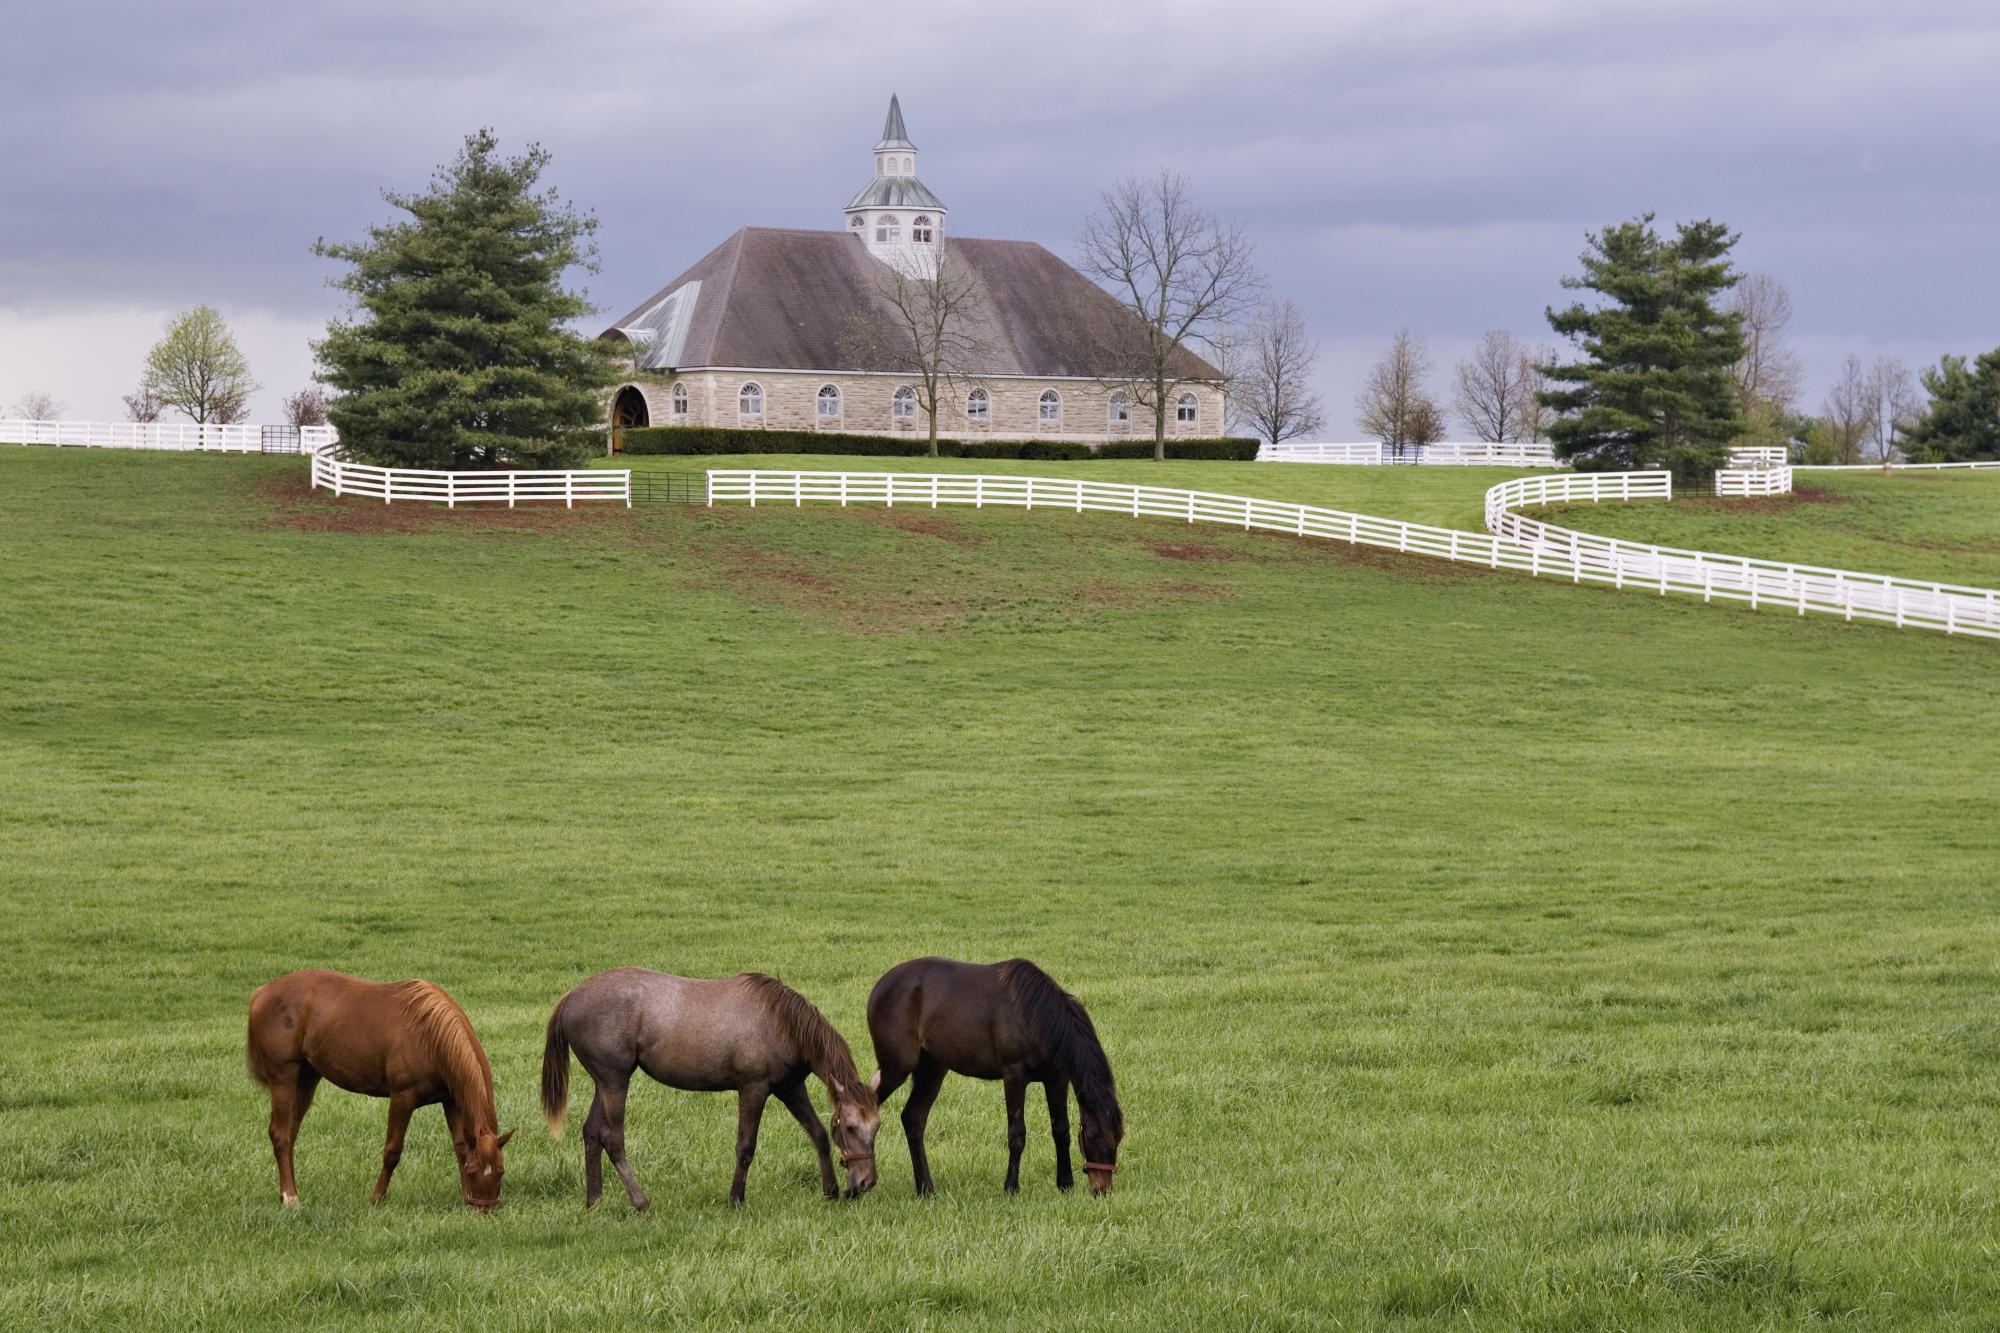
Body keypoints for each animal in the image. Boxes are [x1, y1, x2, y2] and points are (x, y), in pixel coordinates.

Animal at [245, 964, 512, 1200]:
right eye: (474, 1171)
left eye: (500, 1171)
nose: (484, 1206)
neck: (430, 1036)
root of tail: (261, 992)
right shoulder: (402, 1098)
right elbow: (392, 1151)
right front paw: (377, 1197)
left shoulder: (451, 1100)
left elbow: (460, 1146)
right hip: (284, 1078)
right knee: (280, 1134)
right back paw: (291, 1197)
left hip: (306, 1079)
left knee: (290, 1132)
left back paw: (287, 1192)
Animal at [536, 964, 880, 1200]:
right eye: (851, 1127)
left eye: (876, 1127)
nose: (866, 1182)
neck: (779, 1022)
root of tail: (571, 997)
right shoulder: (754, 1089)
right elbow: (745, 1146)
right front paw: (736, 1199)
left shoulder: (790, 1088)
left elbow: (818, 1134)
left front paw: (830, 1190)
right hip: (614, 1081)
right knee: (612, 1139)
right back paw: (641, 1202)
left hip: (604, 1082)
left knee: (592, 1134)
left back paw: (594, 1201)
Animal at [872, 956, 1136, 1192]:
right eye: (1091, 1136)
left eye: (1118, 1136)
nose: (1102, 1189)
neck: (1036, 1017)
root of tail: (881, 986)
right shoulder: (1014, 1077)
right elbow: (1017, 1134)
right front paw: (1011, 1187)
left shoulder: (1056, 1079)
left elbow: (1061, 1130)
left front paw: (1065, 1184)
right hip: (896, 1069)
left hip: (933, 1070)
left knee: (913, 1118)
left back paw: (926, 1188)